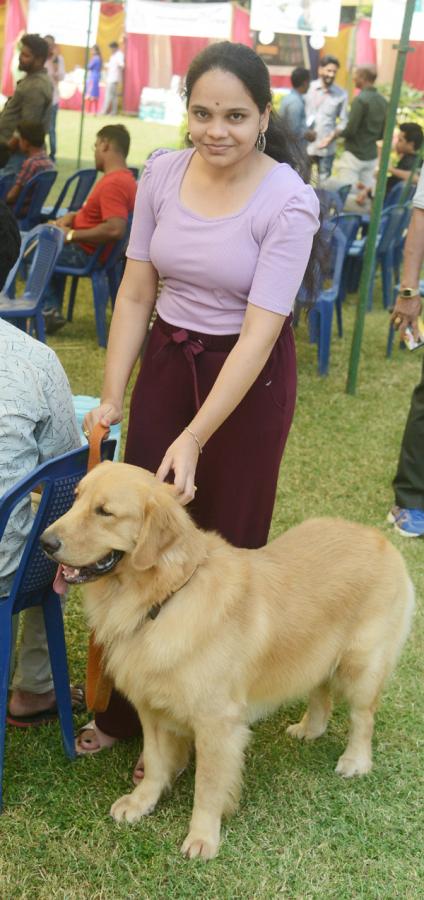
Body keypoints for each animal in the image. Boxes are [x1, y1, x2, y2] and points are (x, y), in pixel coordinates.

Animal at [40, 460, 414, 860]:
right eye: (76, 498)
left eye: (105, 512)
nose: (45, 542)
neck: (163, 599)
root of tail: (379, 540)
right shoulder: (151, 708)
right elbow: (155, 762)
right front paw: (142, 802)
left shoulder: (217, 723)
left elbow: (207, 786)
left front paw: (203, 837)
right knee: (320, 693)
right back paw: (309, 729)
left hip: (361, 665)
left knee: (363, 717)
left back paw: (355, 761)